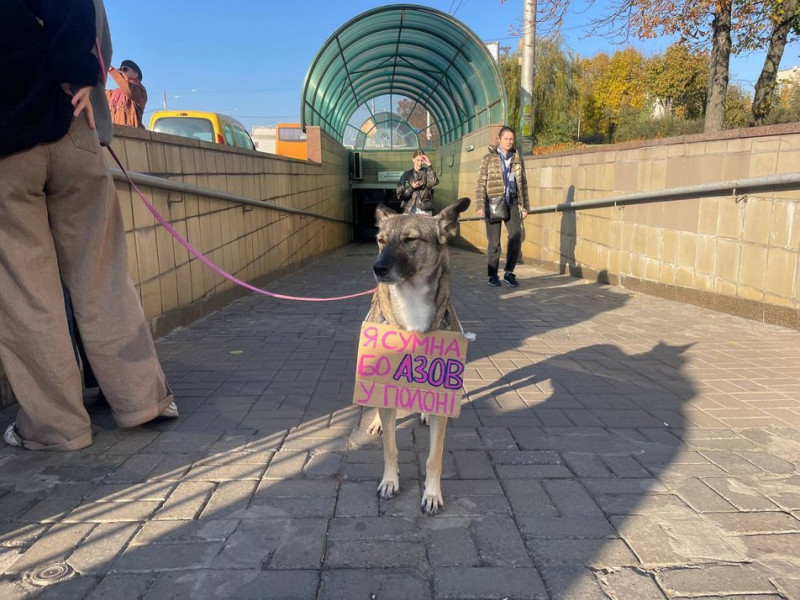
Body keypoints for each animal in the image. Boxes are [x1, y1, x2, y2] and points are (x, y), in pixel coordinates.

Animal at [362, 197, 468, 516]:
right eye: (381, 240)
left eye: (411, 240)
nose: (378, 268)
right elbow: (390, 449)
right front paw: (390, 482)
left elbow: (434, 458)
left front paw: (432, 494)